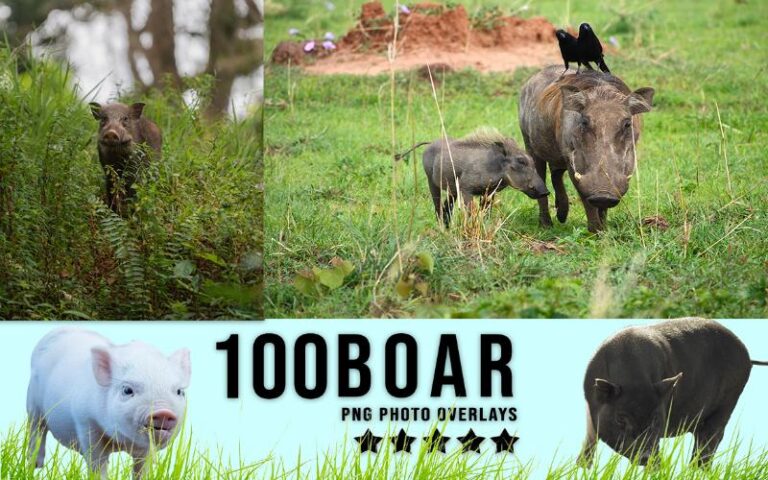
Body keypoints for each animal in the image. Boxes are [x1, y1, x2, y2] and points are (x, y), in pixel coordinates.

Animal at [26, 328, 191, 479]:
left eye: (179, 391)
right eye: (127, 390)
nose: (163, 412)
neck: (121, 441)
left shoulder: (146, 449)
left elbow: (142, 468)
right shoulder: (86, 422)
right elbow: (97, 462)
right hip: (33, 405)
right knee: (37, 430)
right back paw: (35, 466)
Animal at [395, 129, 549, 228]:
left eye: (532, 160)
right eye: (521, 161)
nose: (546, 192)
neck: (495, 166)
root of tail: (430, 143)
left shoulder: (489, 192)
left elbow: (486, 212)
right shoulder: (466, 189)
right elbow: (471, 212)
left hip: (453, 190)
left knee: (447, 206)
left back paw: (447, 228)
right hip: (431, 182)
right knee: (438, 206)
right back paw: (442, 229)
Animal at [518, 66, 655, 232]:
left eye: (627, 123)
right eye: (584, 121)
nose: (603, 194)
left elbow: (602, 208)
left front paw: (604, 230)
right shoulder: (575, 166)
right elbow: (586, 199)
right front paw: (595, 231)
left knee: (556, 174)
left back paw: (562, 215)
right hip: (531, 147)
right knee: (542, 181)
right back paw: (546, 225)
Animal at [579, 318, 767, 467]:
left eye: (655, 419)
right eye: (620, 419)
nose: (646, 457)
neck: (633, 380)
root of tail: (748, 358)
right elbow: (590, 439)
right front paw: (581, 467)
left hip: (729, 400)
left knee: (711, 438)